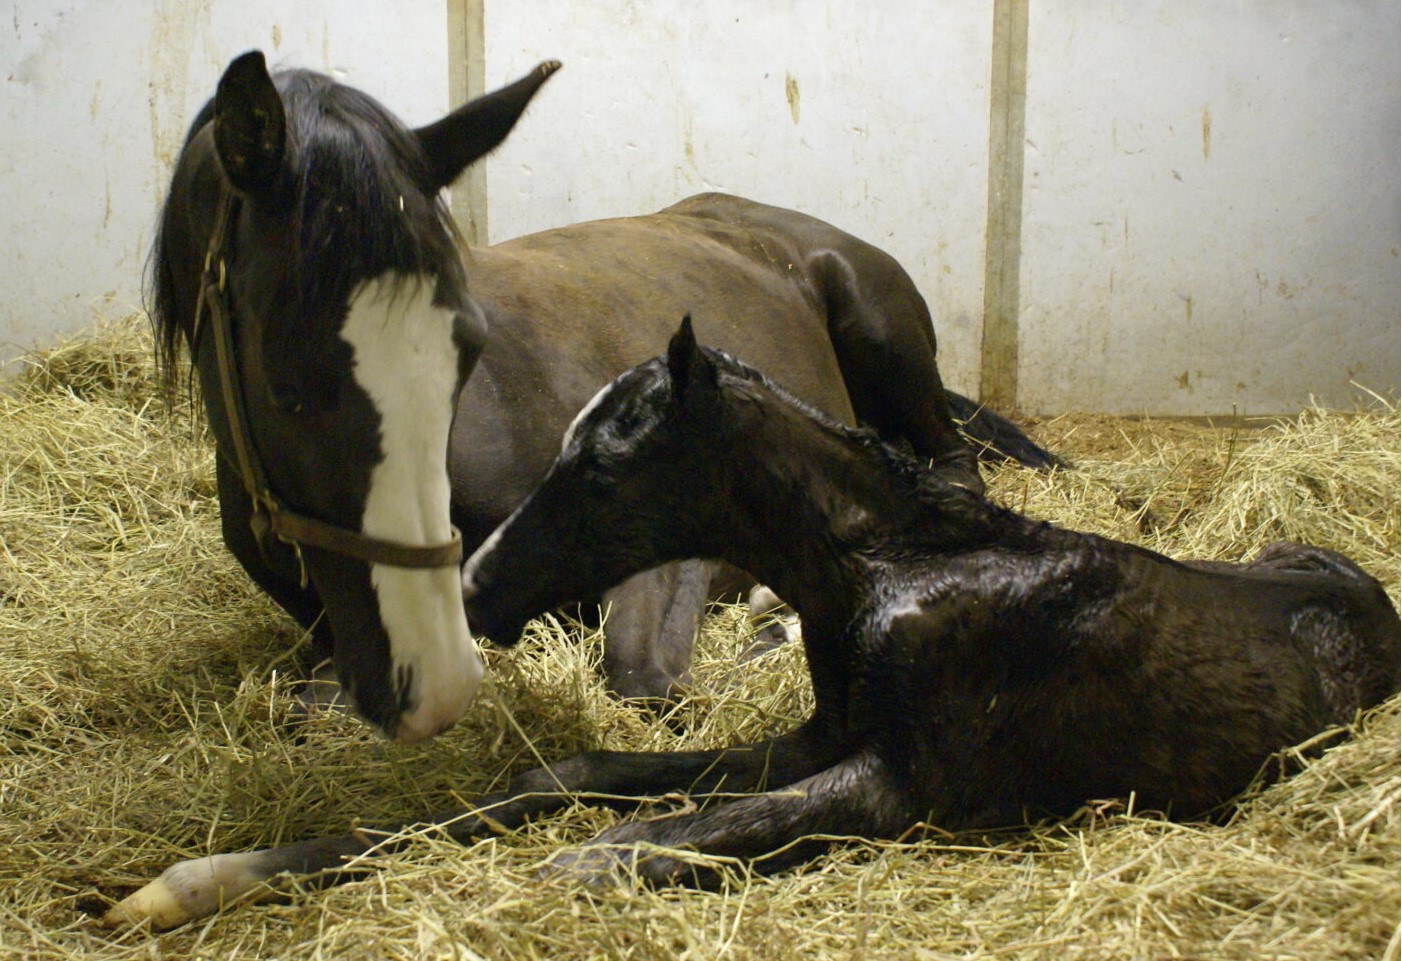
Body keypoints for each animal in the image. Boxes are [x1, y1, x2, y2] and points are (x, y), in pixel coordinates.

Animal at [109, 318, 1402, 925]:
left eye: (602, 468)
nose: (475, 589)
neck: (883, 572)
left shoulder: (904, 782)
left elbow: (625, 847)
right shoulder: (815, 736)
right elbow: (572, 778)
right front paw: (195, 880)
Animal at [147, 50, 1054, 740]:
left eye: (466, 345)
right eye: (285, 378)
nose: (430, 668)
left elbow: (637, 672)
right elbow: (314, 694)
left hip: (880, 328)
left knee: (952, 467)